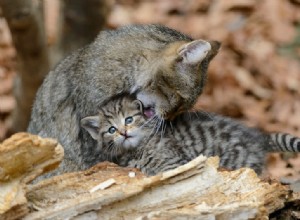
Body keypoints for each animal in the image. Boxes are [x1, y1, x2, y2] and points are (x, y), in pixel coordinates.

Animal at [81, 95, 300, 176]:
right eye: (111, 129)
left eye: (128, 120)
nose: (123, 132)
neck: (138, 149)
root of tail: (258, 138)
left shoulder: (175, 163)